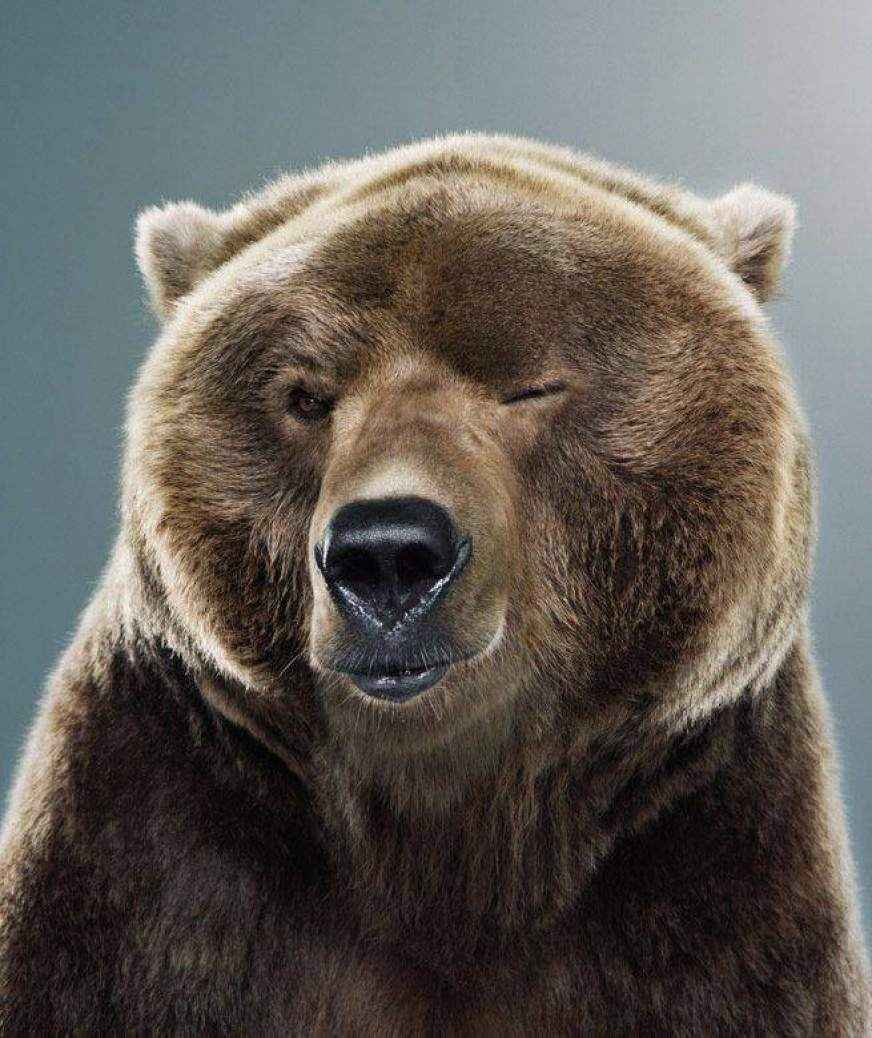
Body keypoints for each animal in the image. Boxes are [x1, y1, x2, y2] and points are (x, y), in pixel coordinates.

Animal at [1, 133, 869, 1034]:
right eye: (306, 395)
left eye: (532, 385)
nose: (388, 556)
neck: (452, 834)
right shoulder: (159, 864)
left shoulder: (714, 884)